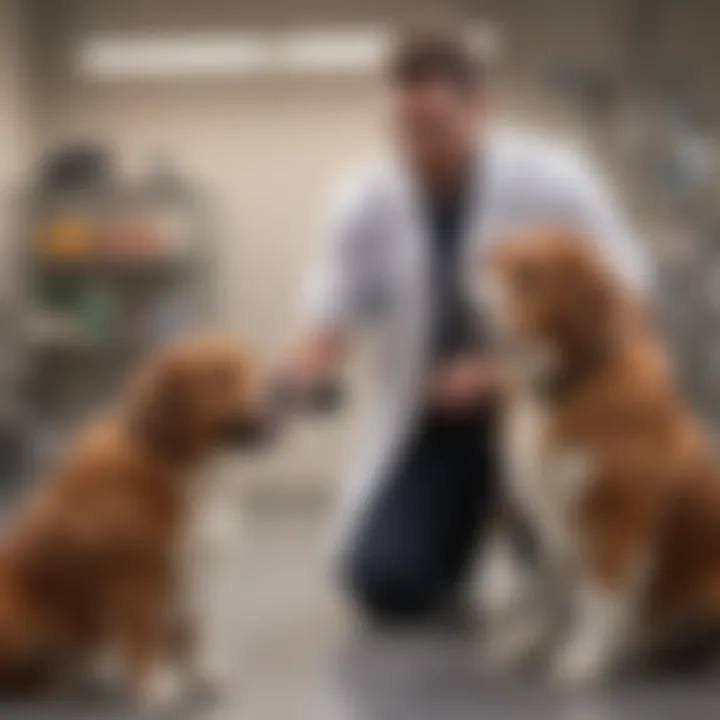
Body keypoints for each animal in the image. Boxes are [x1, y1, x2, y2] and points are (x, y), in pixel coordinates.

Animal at [0, 334, 272, 704]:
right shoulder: (134, 577)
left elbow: (193, 628)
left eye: (252, 369)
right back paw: (53, 680)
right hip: (13, 605)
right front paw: (156, 685)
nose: (277, 400)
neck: (171, 462)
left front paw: (200, 672)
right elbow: (144, 634)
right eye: (219, 377)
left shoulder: (191, 569)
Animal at [478, 229, 720, 688]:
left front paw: (585, 658)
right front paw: (531, 641)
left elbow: (599, 598)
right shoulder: (551, 515)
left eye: (528, 275)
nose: (469, 282)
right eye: (495, 263)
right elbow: (551, 590)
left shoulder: (615, 518)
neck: (569, 382)